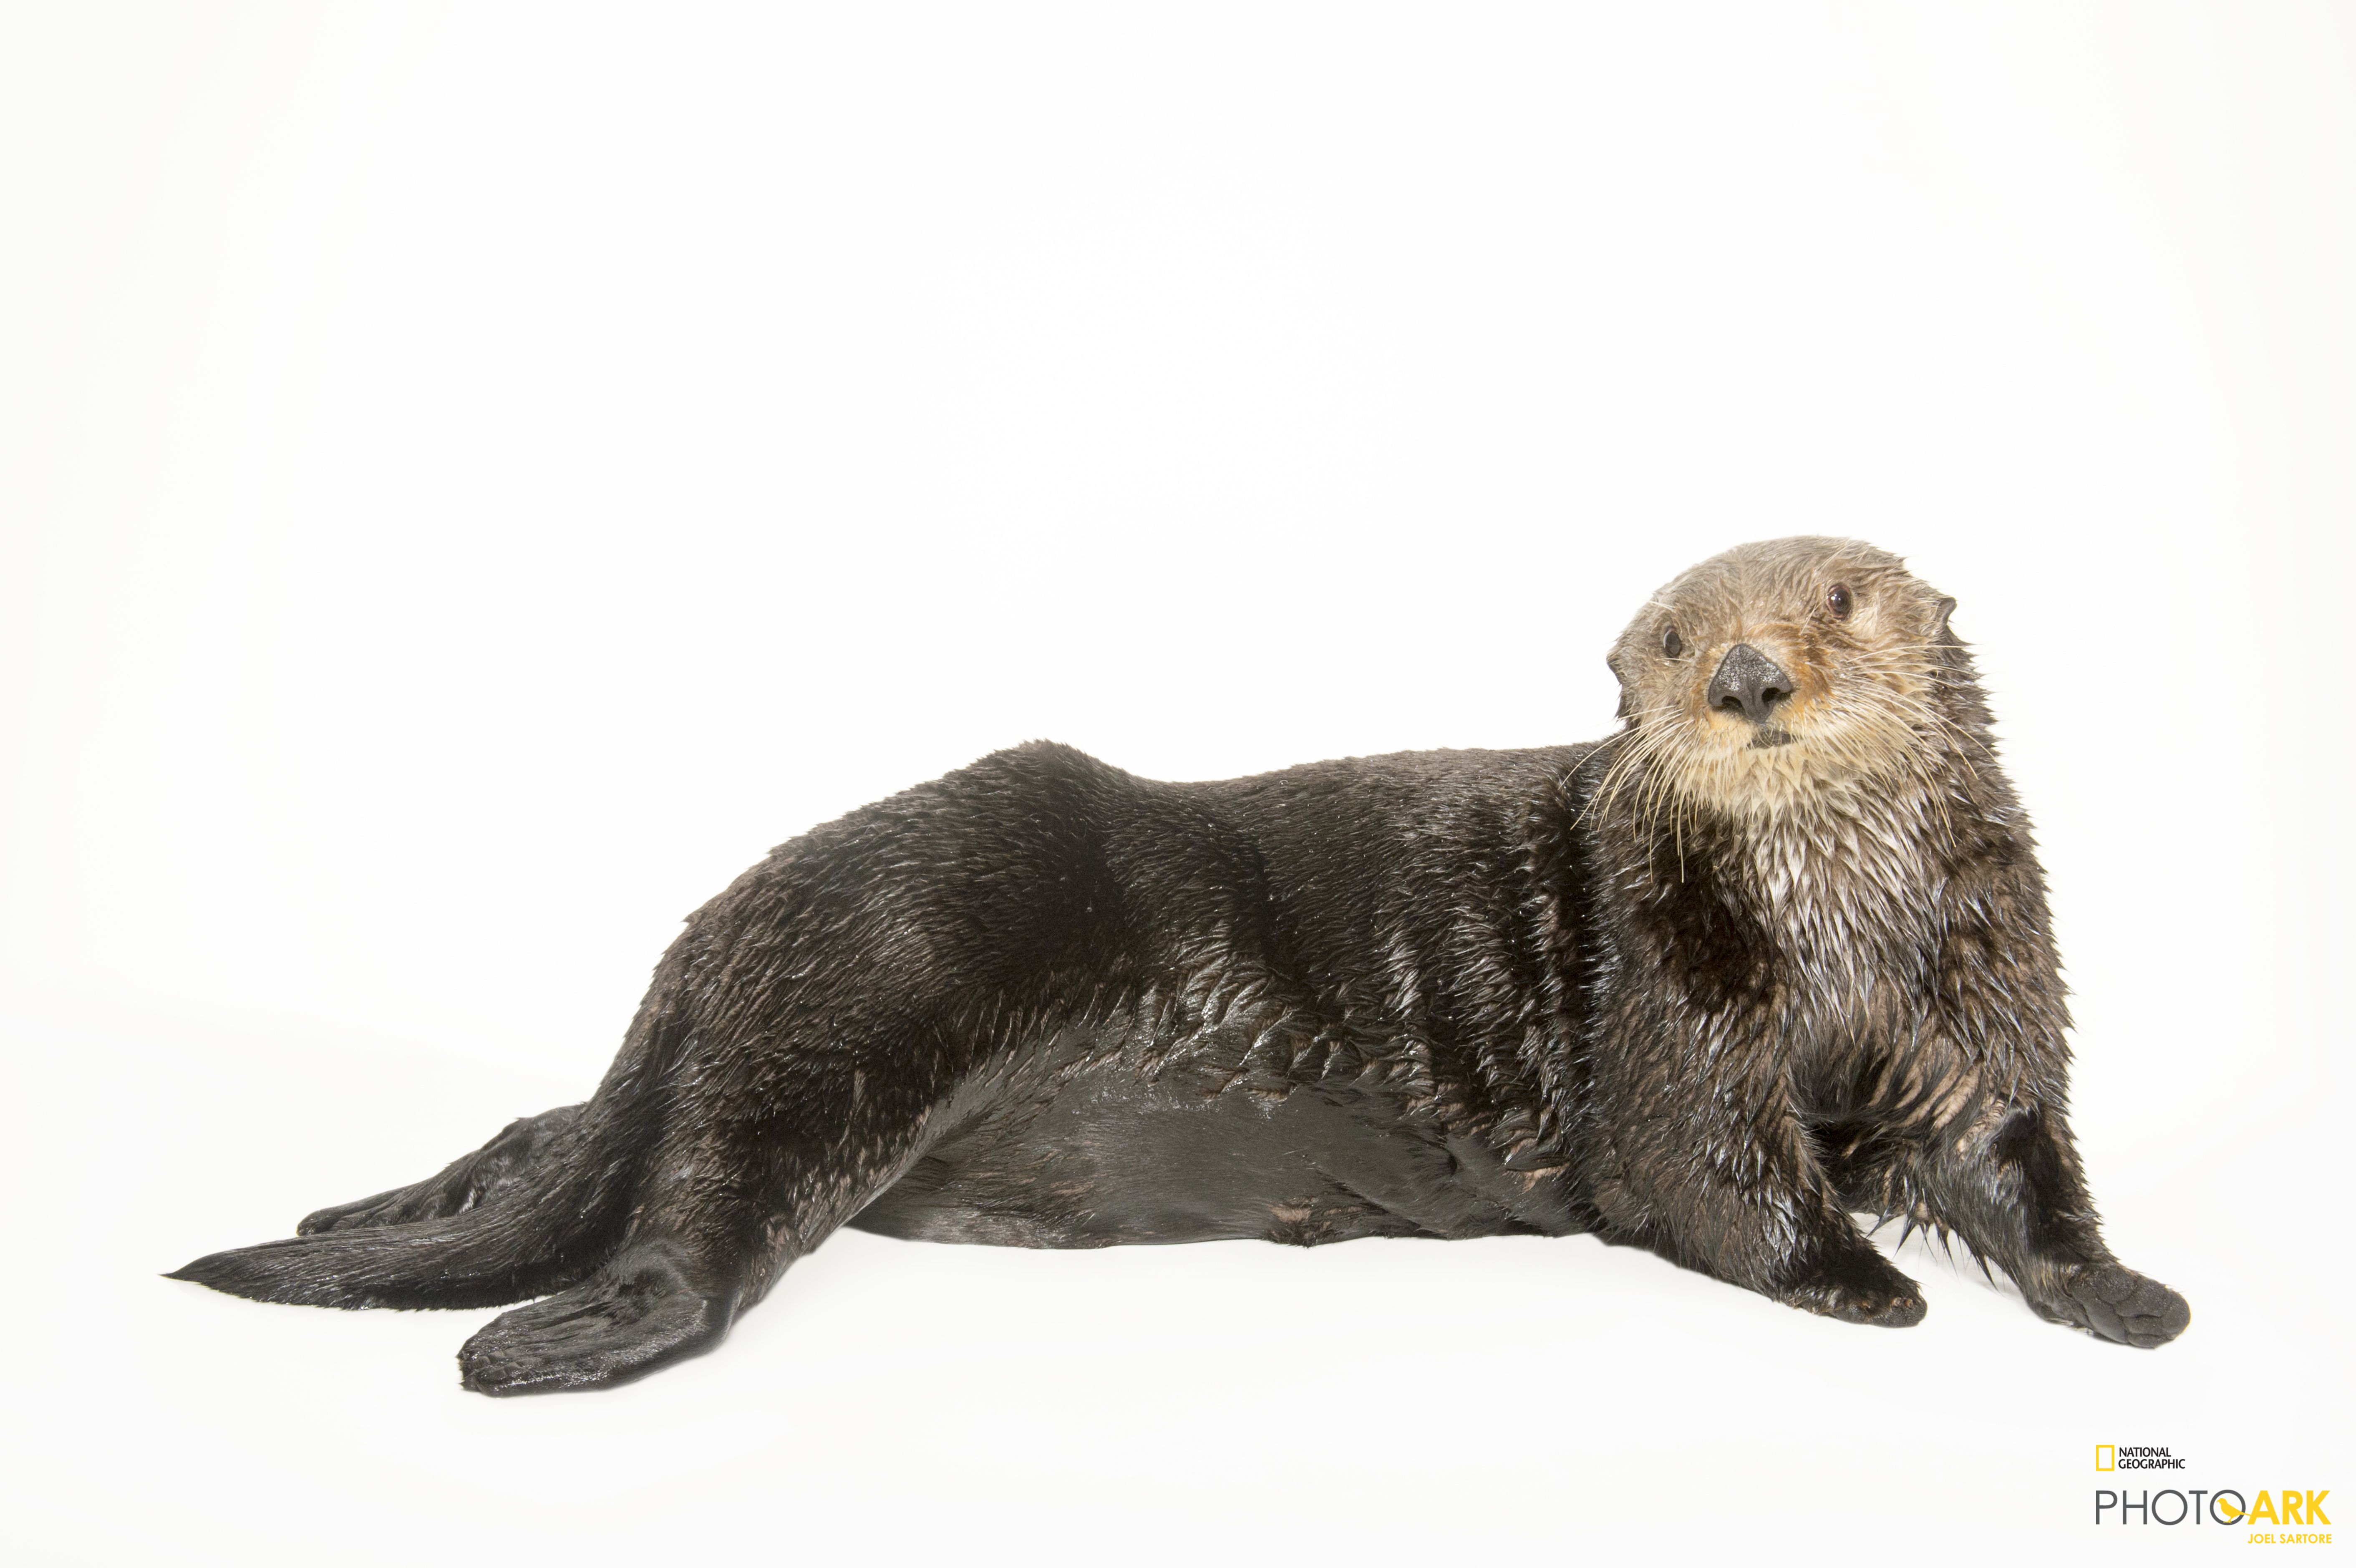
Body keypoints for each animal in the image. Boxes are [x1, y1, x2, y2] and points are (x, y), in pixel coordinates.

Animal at [171, 536, 2189, 1393]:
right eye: (1678, 637)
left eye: (1837, 600)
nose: (1751, 678)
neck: (1837, 944)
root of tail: (723, 925)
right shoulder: (1678, 1023)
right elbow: (1720, 1176)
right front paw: (1871, 1283)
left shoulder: (1980, 998)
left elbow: (2018, 1161)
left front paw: (2128, 1295)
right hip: (879, 972)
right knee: (691, 1198)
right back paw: (545, 1335)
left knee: (557, 1135)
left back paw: (400, 1206)